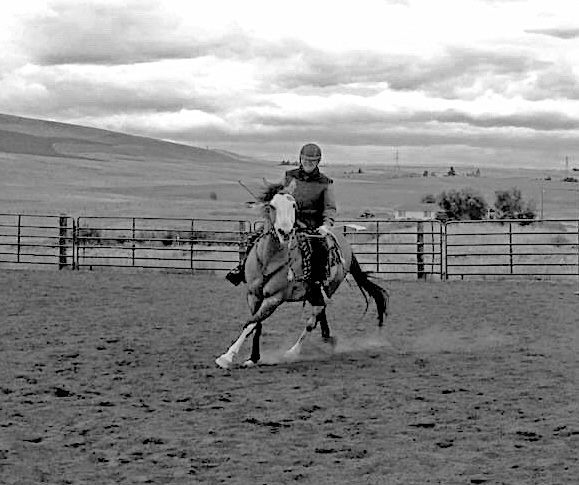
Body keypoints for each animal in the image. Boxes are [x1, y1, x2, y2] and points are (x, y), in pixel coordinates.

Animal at [215, 187, 390, 369]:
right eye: (272, 206)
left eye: (293, 206)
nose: (285, 232)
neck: (268, 261)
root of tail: (345, 243)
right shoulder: (253, 295)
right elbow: (257, 324)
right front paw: (253, 358)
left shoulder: (274, 299)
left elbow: (250, 324)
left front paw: (226, 357)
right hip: (313, 293)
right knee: (321, 310)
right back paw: (327, 337)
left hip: (328, 287)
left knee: (313, 319)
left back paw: (293, 352)